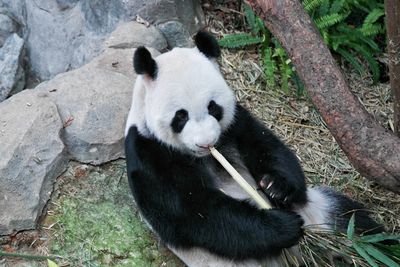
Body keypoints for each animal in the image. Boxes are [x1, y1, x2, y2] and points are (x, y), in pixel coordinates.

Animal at [124, 31, 384, 267]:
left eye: (213, 107)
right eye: (181, 116)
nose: (206, 142)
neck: (203, 157)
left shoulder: (235, 124)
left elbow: (268, 148)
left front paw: (277, 187)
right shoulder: (148, 152)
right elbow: (197, 212)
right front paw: (283, 225)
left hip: (323, 216)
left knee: (358, 226)